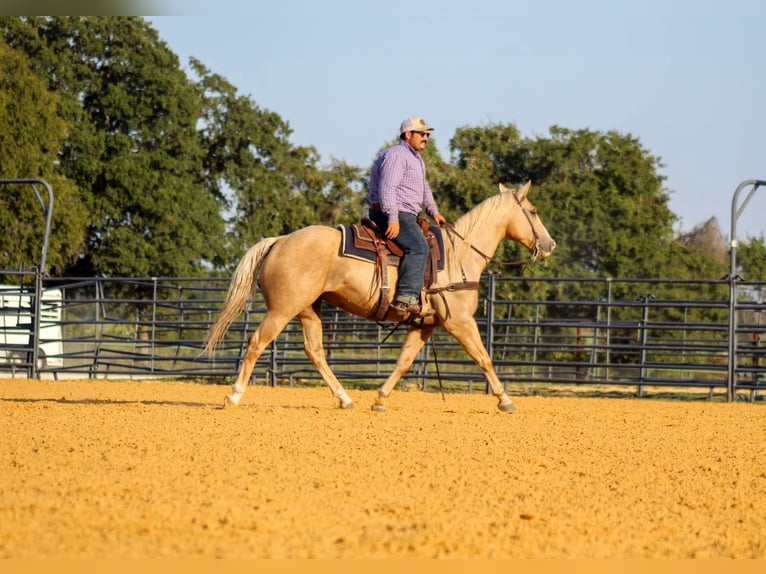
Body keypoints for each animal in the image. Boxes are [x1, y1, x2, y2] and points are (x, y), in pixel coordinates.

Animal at [204, 181, 556, 413]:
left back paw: (345, 399)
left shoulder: (424, 325)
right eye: (533, 210)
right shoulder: (459, 322)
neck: (460, 256)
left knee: (315, 351)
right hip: (282, 309)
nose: (550, 245)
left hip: (308, 309)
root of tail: (279, 240)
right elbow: (484, 357)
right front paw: (505, 400)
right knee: (256, 343)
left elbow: (404, 362)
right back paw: (234, 395)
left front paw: (380, 398)